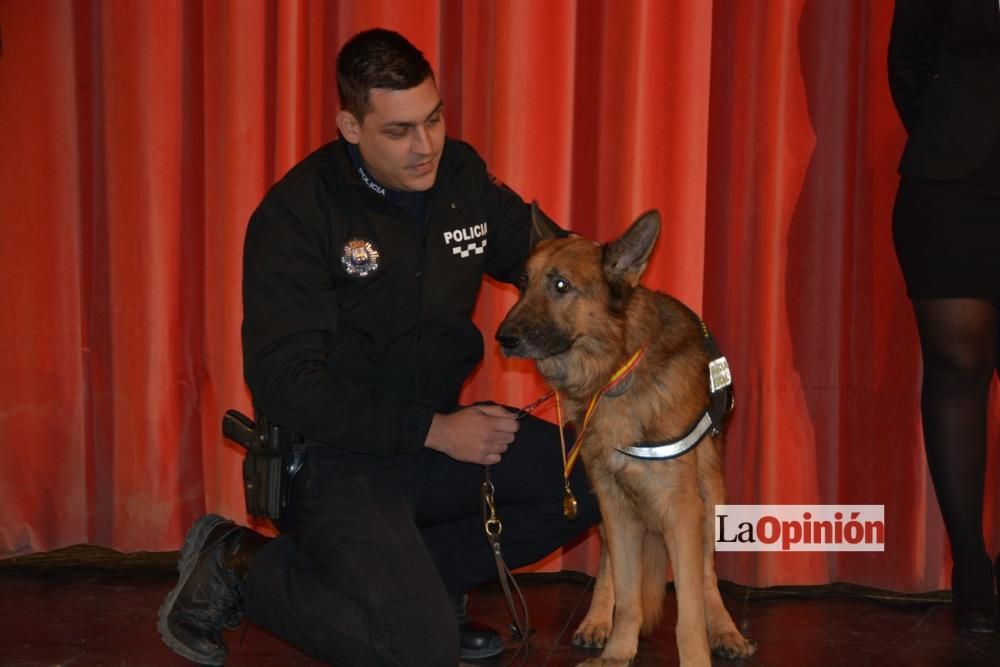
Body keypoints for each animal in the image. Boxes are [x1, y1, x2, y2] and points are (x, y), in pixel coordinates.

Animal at [496, 206, 752, 664]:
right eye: (523, 282)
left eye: (561, 285)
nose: (503, 339)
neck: (615, 373)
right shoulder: (615, 504)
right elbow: (629, 597)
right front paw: (617, 653)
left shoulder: (681, 510)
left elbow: (689, 611)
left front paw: (697, 653)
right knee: (609, 569)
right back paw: (597, 619)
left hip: (710, 497)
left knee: (707, 575)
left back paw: (724, 628)